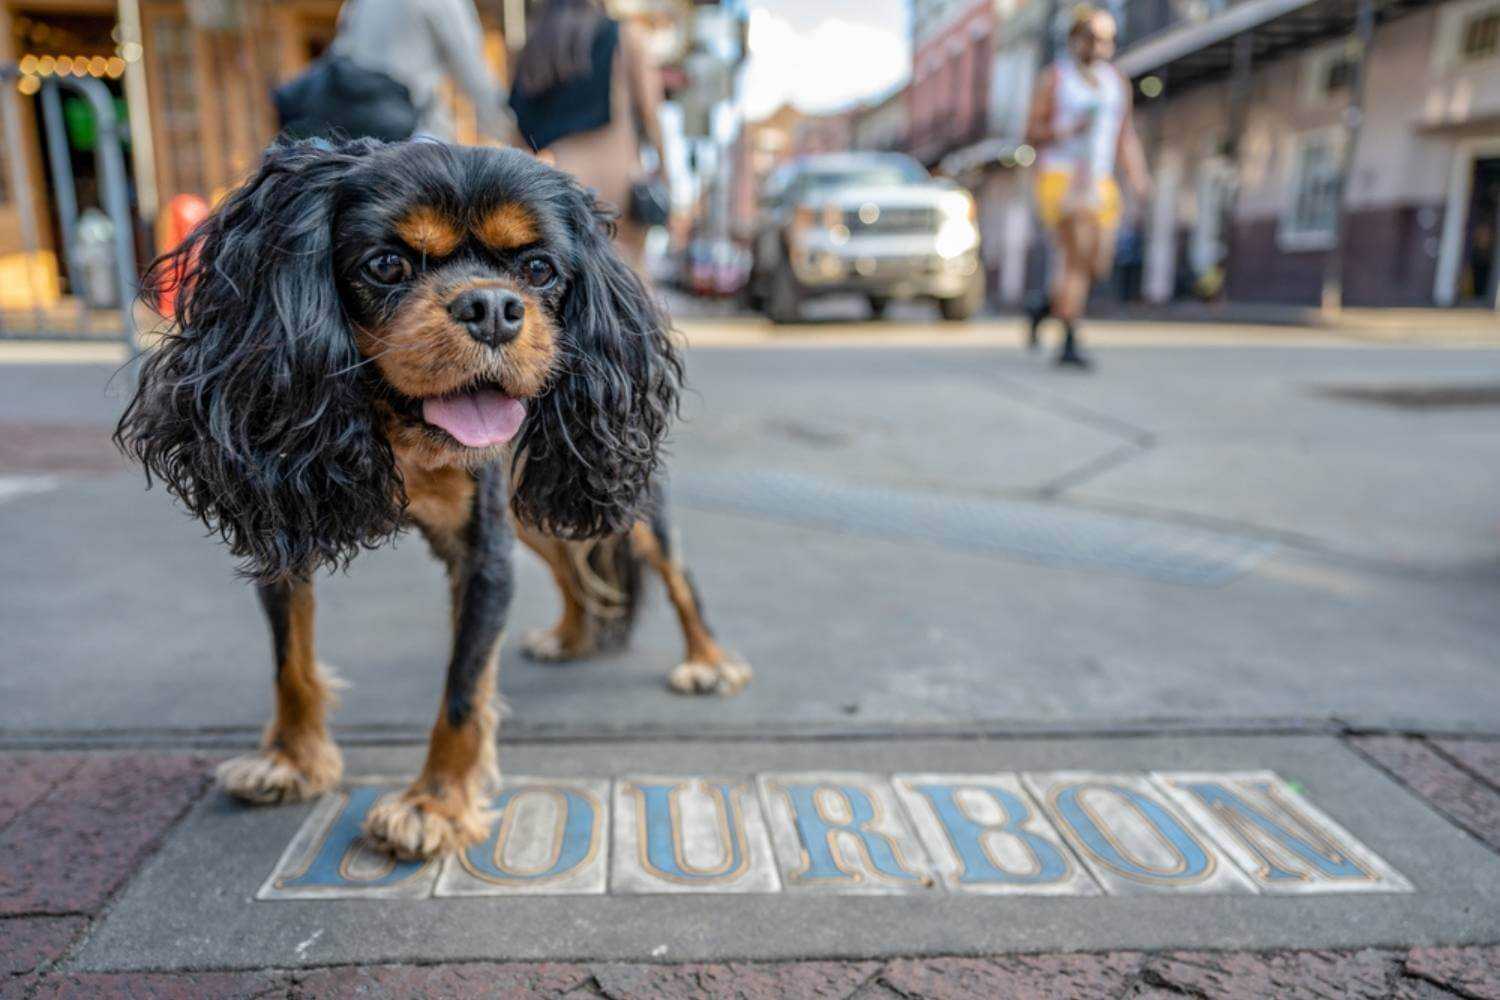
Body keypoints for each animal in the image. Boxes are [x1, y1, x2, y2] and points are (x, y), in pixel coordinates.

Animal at [115, 138, 750, 863]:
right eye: (387, 264)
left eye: (539, 269)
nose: (494, 307)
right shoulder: (282, 512)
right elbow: (289, 663)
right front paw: (292, 762)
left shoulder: (482, 549)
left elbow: (463, 689)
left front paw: (434, 805)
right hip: (530, 505)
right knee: (568, 564)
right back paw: (570, 637)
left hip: (614, 488)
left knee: (674, 573)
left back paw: (707, 661)